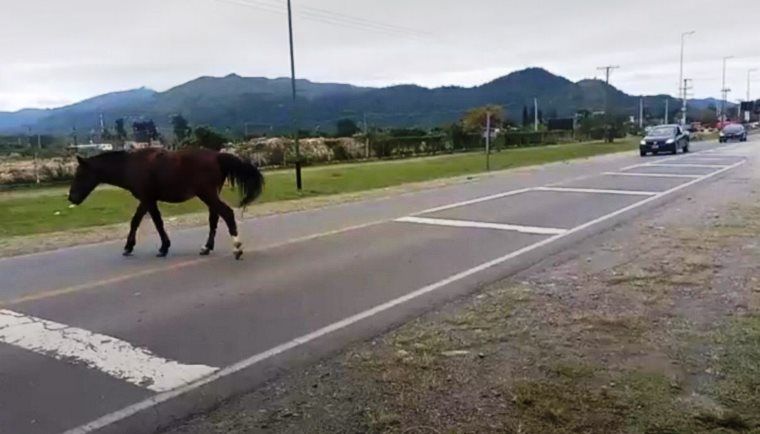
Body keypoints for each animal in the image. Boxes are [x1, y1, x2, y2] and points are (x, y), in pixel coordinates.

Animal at [68, 147, 264, 260]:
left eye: (80, 174)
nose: (71, 197)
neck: (130, 165)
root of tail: (217, 156)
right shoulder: (149, 200)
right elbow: (149, 222)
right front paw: (158, 247)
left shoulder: (147, 199)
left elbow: (145, 222)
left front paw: (140, 247)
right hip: (211, 194)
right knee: (214, 218)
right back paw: (206, 247)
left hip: (207, 194)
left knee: (227, 214)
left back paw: (237, 248)